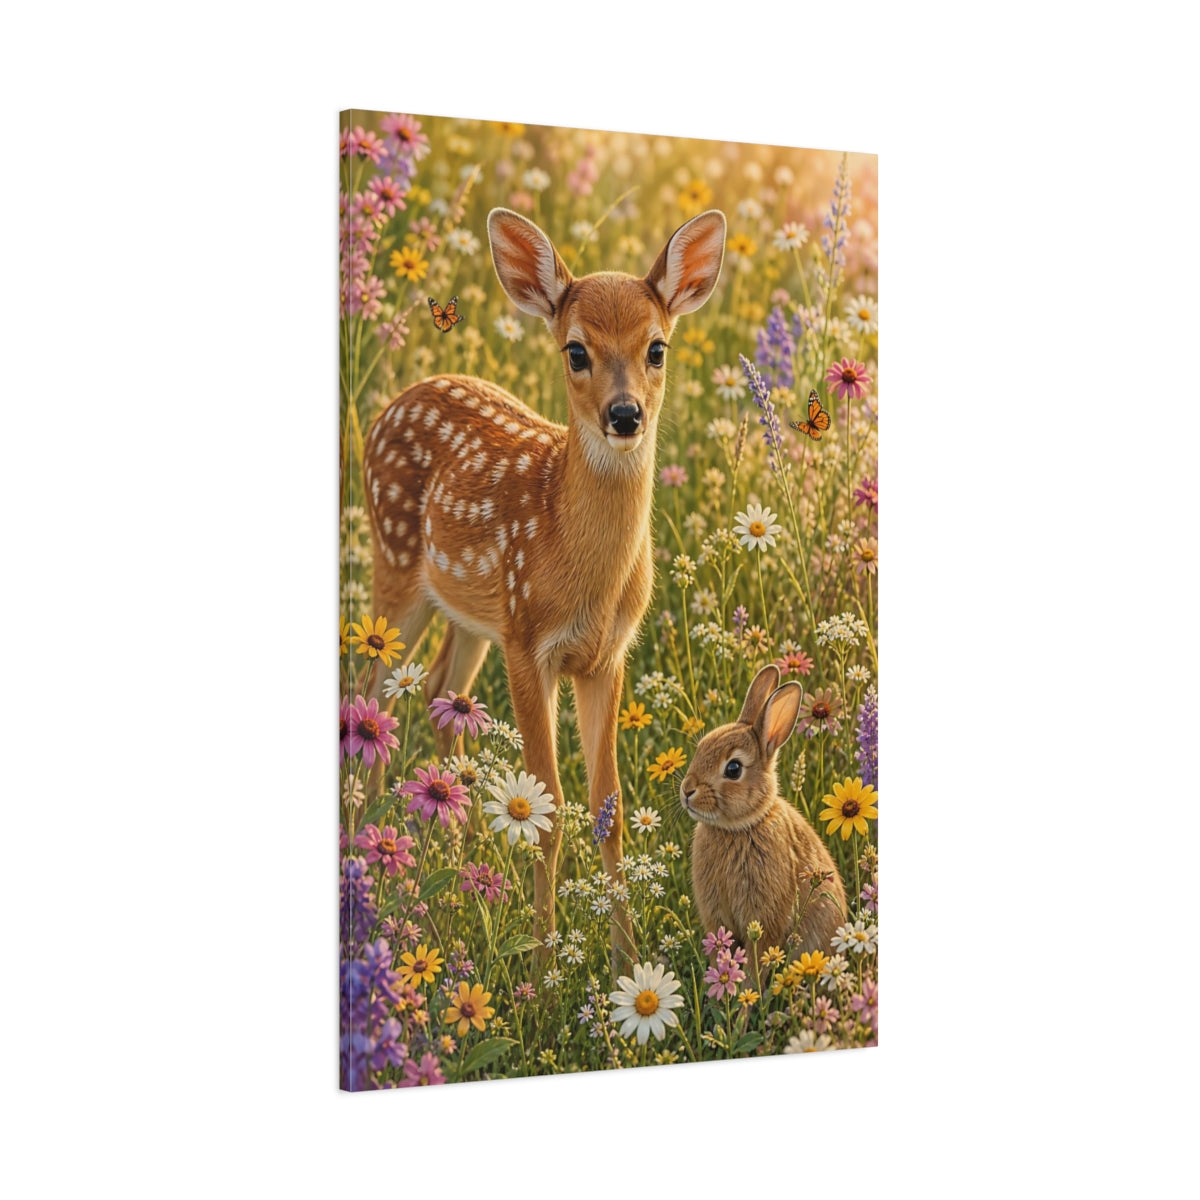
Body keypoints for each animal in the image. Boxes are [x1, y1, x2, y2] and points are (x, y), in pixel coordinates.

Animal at [362, 205, 726, 970]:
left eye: (657, 348)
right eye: (575, 350)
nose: (625, 415)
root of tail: (394, 402)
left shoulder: (605, 656)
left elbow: (609, 811)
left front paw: (623, 966)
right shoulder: (530, 642)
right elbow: (550, 809)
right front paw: (544, 965)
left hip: (472, 615)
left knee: (439, 693)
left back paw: (453, 854)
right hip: (396, 567)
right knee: (369, 694)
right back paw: (378, 854)